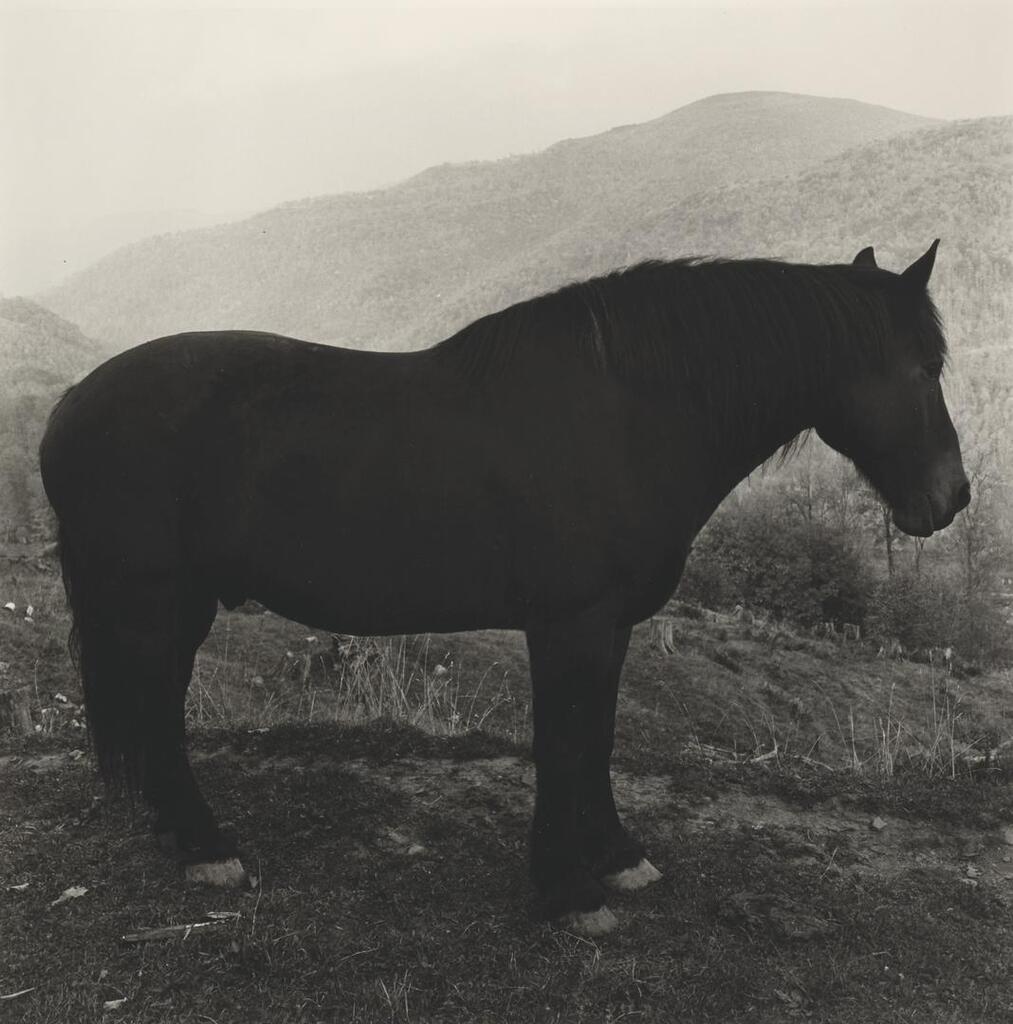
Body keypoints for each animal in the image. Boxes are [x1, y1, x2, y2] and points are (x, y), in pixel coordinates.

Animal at [40, 241, 969, 935]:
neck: (624, 416)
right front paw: (567, 893)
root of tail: (71, 401)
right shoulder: (571, 625)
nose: (953, 498)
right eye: (922, 368)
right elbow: (562, 742)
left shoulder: (609, 627)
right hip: (155, 604)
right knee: (156, 711)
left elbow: (595, 740)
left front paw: (617, 858)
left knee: (151, 712)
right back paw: (206, 848)